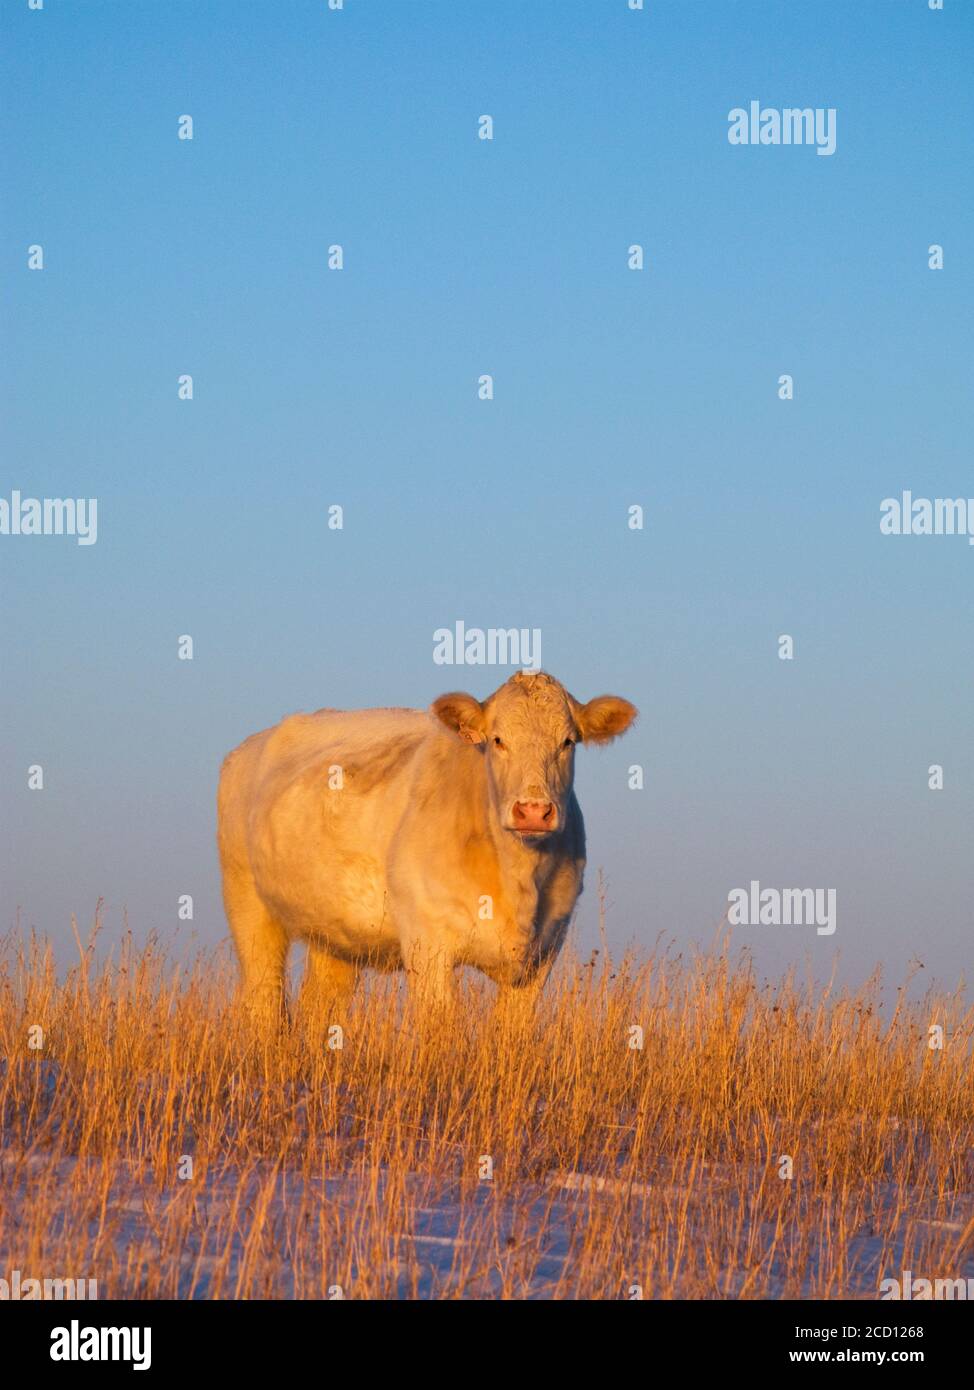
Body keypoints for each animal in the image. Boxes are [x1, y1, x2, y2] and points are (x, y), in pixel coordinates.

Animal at [217, 670, 637, 1021]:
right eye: (498, 740)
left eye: (568, 742)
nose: (533, 810)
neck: (518, 882)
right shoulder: (426, 942)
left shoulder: (544, 951)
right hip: (248, 903)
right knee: (264, 999)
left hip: (333, 932)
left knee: (320, 1008)